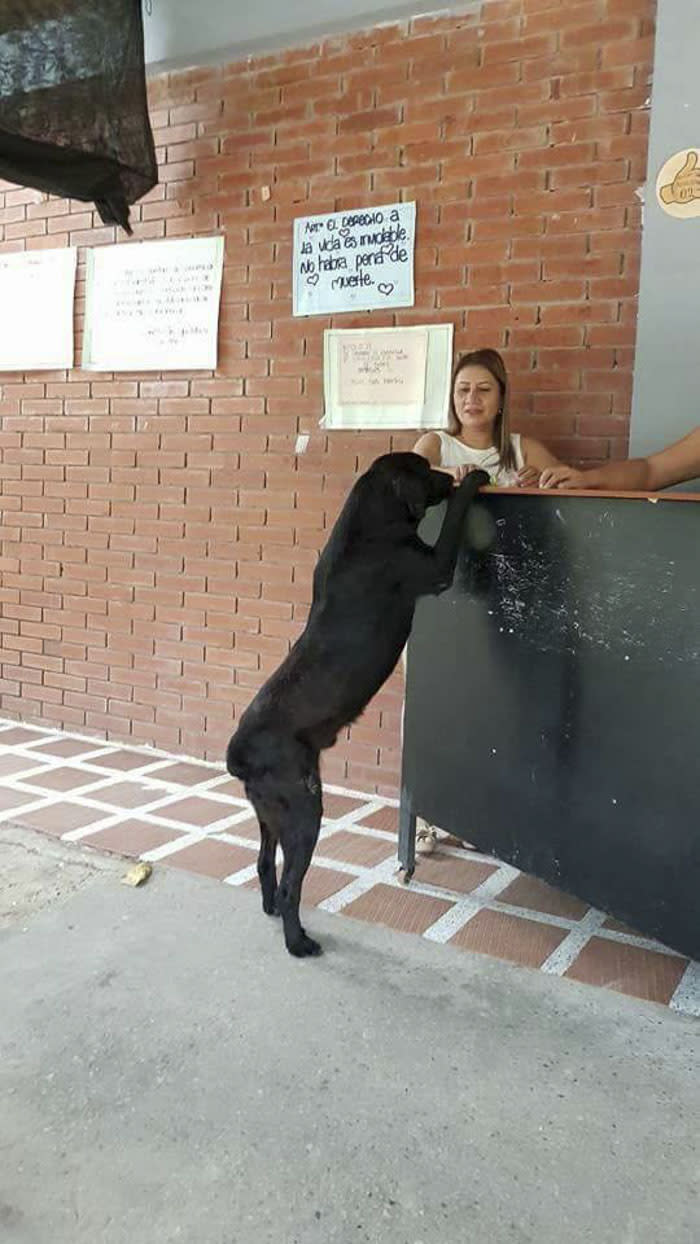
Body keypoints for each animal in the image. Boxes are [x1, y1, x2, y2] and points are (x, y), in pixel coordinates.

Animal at [226, 452, 487, 955]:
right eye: (424, 469)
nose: (447, 475)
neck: (370, 524)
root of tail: (239, 755)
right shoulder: (432, 566)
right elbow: (453, 525)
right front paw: (474, 481)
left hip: (270, 814)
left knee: (265, 864)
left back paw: (272, 912)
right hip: (304, 810)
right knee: (290, 886)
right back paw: (298, 942)